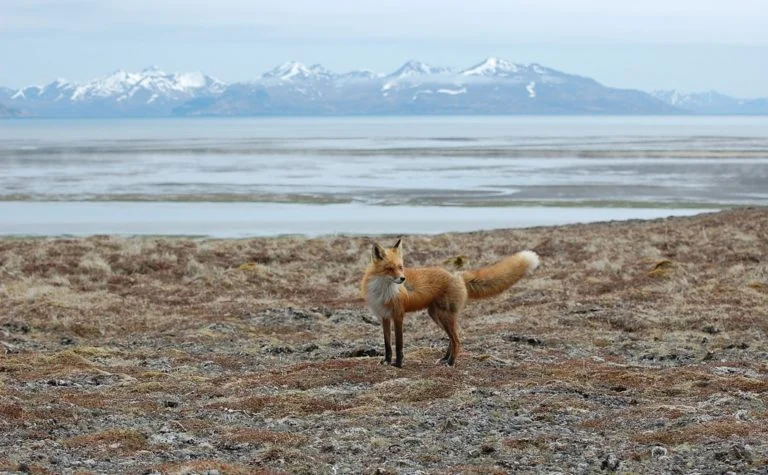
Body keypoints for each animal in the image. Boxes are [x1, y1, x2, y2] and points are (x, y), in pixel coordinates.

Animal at [362, 238, 536, 368]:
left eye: (401, 267)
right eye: (389, 268)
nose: (402, 279)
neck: (383, 290)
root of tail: (458, 276)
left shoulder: (398, 315)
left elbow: (398, 344)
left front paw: (398, 364)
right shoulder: (384, 317)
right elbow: (387, 343)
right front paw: (386, 361)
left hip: (444, 316)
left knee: (457, 341)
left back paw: (451, 363)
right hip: (437, 315)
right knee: (453, 340)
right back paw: (445, 359)